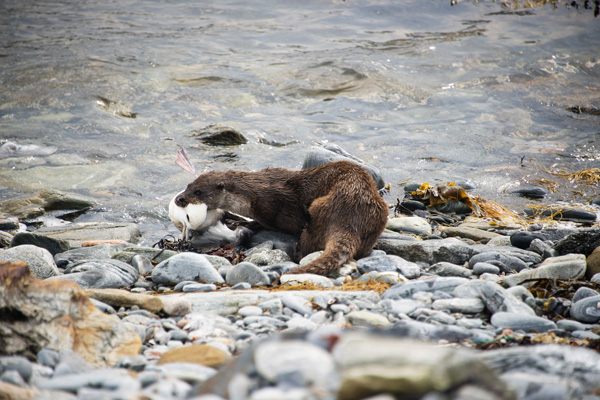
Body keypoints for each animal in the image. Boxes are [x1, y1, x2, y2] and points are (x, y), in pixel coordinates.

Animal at [173, 159, 390, 276]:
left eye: (198, 192)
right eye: (189, 185)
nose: (179, 198)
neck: (252, 195)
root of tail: (349, 219)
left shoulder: (276, 206)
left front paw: (244, 222)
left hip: (319, 208)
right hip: (381, 214)